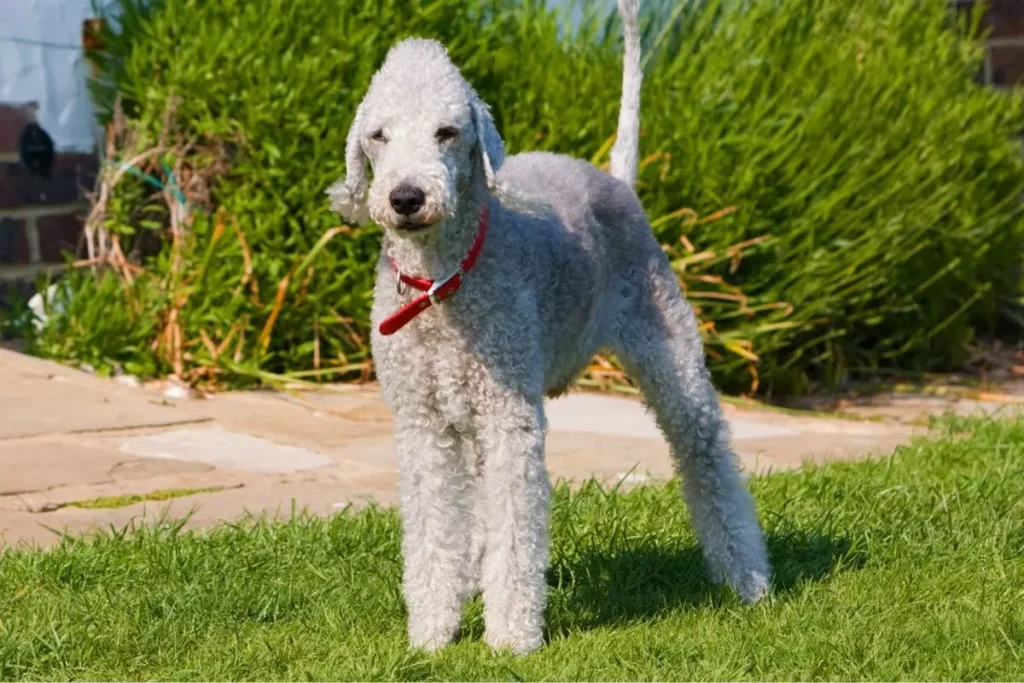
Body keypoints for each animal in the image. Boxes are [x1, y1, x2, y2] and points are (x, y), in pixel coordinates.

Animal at [327, 0, 770, 655]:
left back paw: (748, 579)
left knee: (706, 453)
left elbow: (517, 530)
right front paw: (431, 633)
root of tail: (616, 179)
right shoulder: (422, 423)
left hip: (669, 349)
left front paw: (511, 638)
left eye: (446, 133)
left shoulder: (511, 417)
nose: (406, 197)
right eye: (377, 136)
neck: (444, 281)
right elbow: (434, 530)